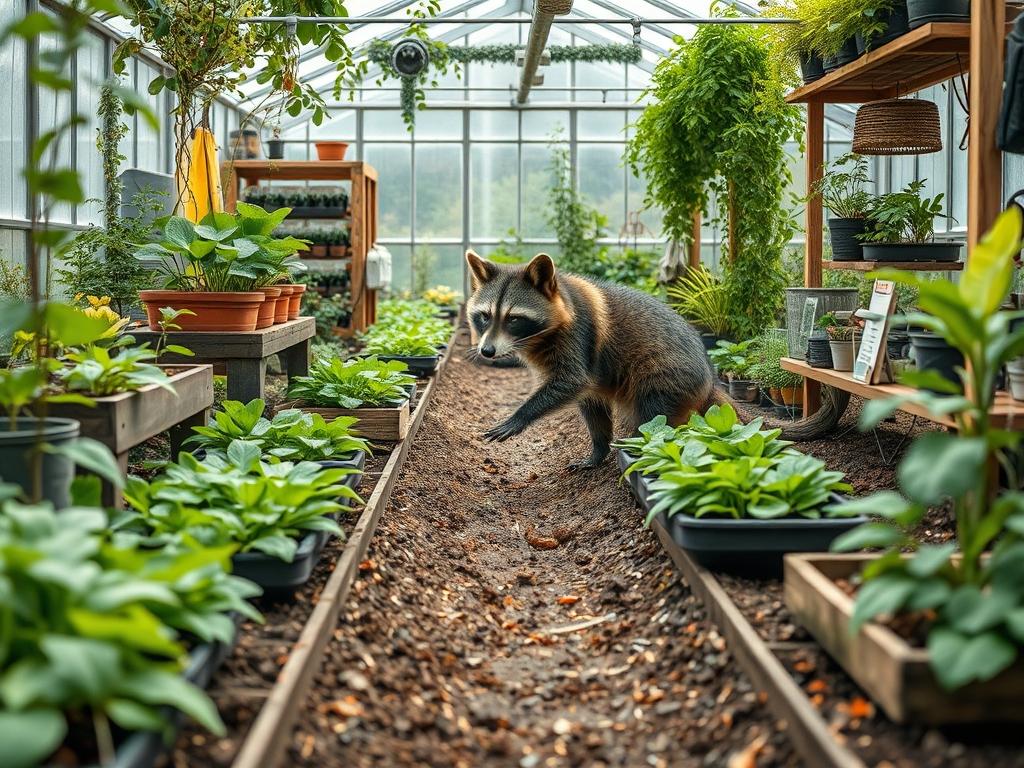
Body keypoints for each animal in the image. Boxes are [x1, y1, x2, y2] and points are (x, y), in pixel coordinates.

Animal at [465, 250, 720, 468]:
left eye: (514, 319)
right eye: (485, 316)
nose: (486, 351)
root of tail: (710, 378)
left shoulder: (579, 335)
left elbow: (572, 380)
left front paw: (521, 414)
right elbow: (584, 394)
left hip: (668, 375)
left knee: (654, 415)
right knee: (594, 409)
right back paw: (599, 450)